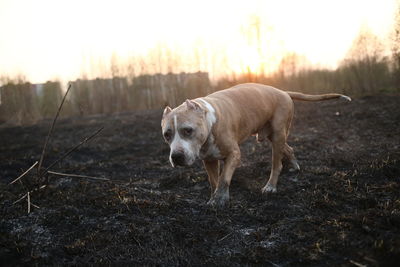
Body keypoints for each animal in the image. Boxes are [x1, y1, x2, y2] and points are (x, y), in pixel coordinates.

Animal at [160, 84, 350, 207]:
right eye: (166, 135)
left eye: (188, 130)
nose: (176, 157)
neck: (209, 120)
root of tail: (282, 91)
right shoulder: (209, 160)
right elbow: (214, 180)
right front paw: (213, 198)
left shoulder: (234, 155)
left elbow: (224, 179)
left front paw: (221, 199)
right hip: (272, 135)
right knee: (288, 148)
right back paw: (295, 165)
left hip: (278, 134)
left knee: (277, 164)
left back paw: (271, 186)